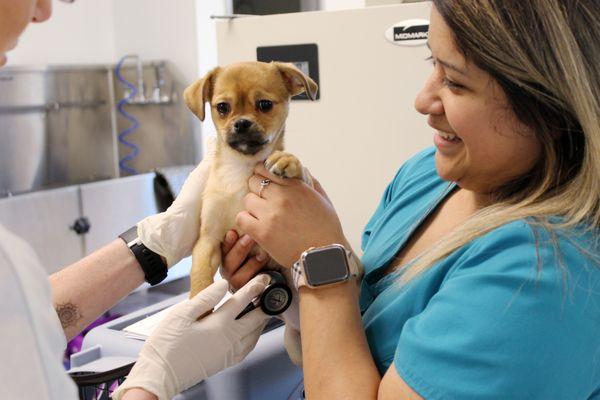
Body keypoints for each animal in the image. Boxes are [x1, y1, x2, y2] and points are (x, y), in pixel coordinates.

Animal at [184, 61, 318, 300]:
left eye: (264, 104)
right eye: (222, 107)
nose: (241, 123)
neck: (242, 169)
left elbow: (303, 174)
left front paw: (287, 160)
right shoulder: (207, 241)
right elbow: (200, 282)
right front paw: (198, 307)